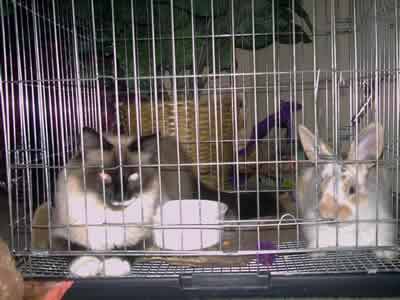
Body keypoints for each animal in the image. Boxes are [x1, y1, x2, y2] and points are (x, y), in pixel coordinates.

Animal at [39, 126, 280, 276]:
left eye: (134, 177)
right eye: (104, 176)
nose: (121, 197)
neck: (112, 216)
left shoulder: (145, 235)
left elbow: (128, 249)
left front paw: (112, 266)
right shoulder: (58, 235)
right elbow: (75, 249)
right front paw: (88, 266)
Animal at [296, 122, 396, 260]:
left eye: (352, 190)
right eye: (320, 191)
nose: (327, 215)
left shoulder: (383, 224)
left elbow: (381, 242)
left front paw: (387, 253)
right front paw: (316, 253)